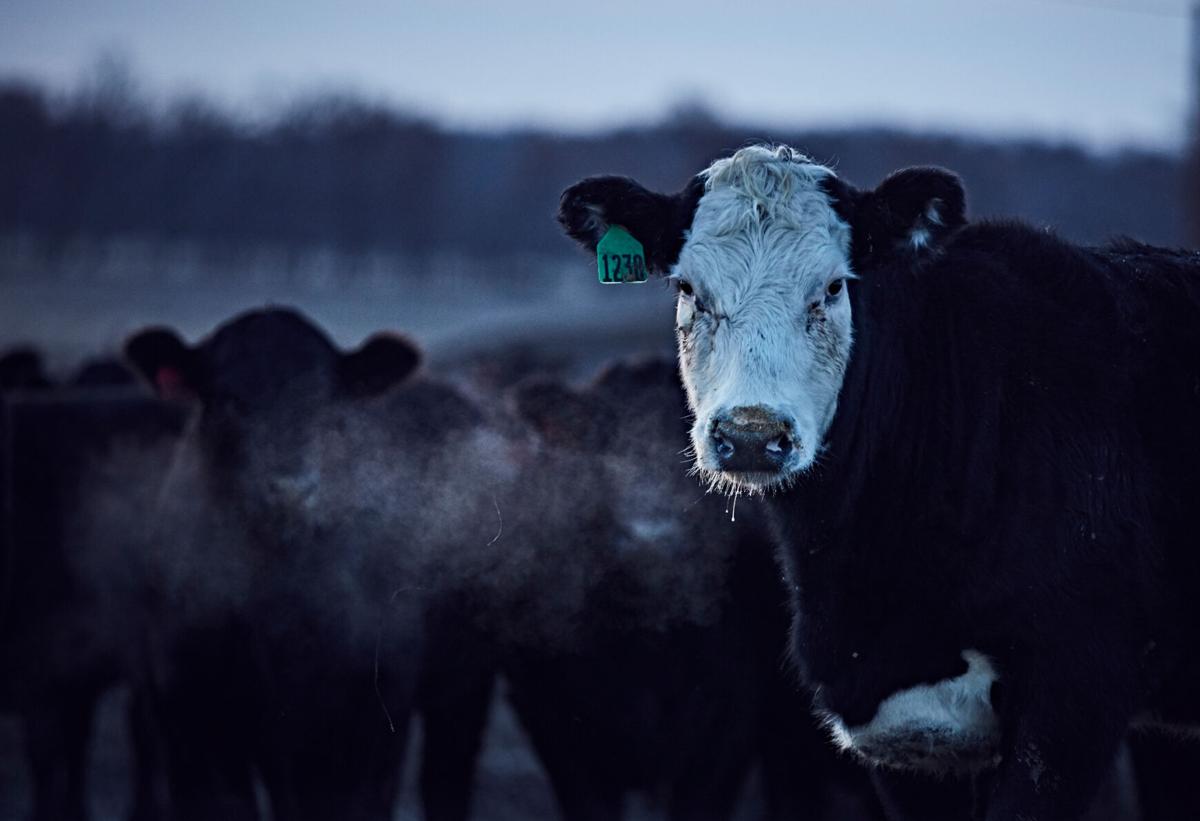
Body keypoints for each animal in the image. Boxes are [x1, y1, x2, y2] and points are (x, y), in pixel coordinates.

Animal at [124, 307, 505, 821]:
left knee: (446, 777)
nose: (291, 489)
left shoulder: (366, 722)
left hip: (464, 683)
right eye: (227, 400)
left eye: (329, 404)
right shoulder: (192, 718)